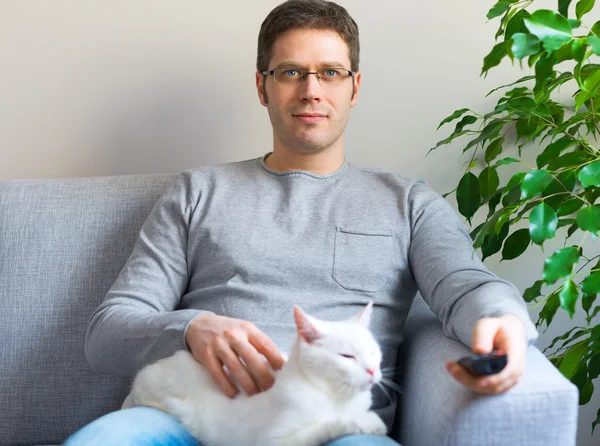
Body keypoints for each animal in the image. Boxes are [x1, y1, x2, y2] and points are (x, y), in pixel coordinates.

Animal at [122, 302, 386, 444]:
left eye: (374, 352)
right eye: (347, 356)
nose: (372, 370)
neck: (337, 397)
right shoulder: (275, 440)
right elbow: (324, 426)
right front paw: (364, 422)